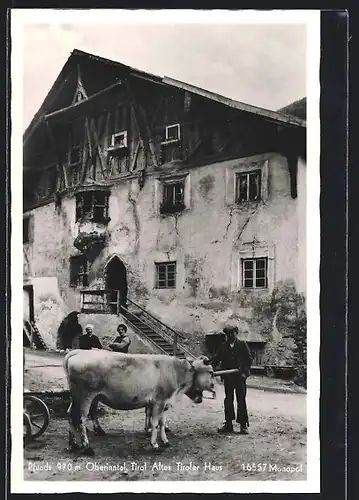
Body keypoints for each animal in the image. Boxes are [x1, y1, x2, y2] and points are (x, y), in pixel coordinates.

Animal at [63, 350, 215, 456]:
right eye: (211, 372)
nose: (214, 386)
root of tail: (78, 352)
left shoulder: (164, 403)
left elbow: (162, 422)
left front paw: (165, 441)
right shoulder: (159, 401)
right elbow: (155, 423)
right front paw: (154, 444)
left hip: (76, 397)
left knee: (70, 414)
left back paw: (73, 444)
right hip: (85, 396)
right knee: (81, 419)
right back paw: (87, 447)